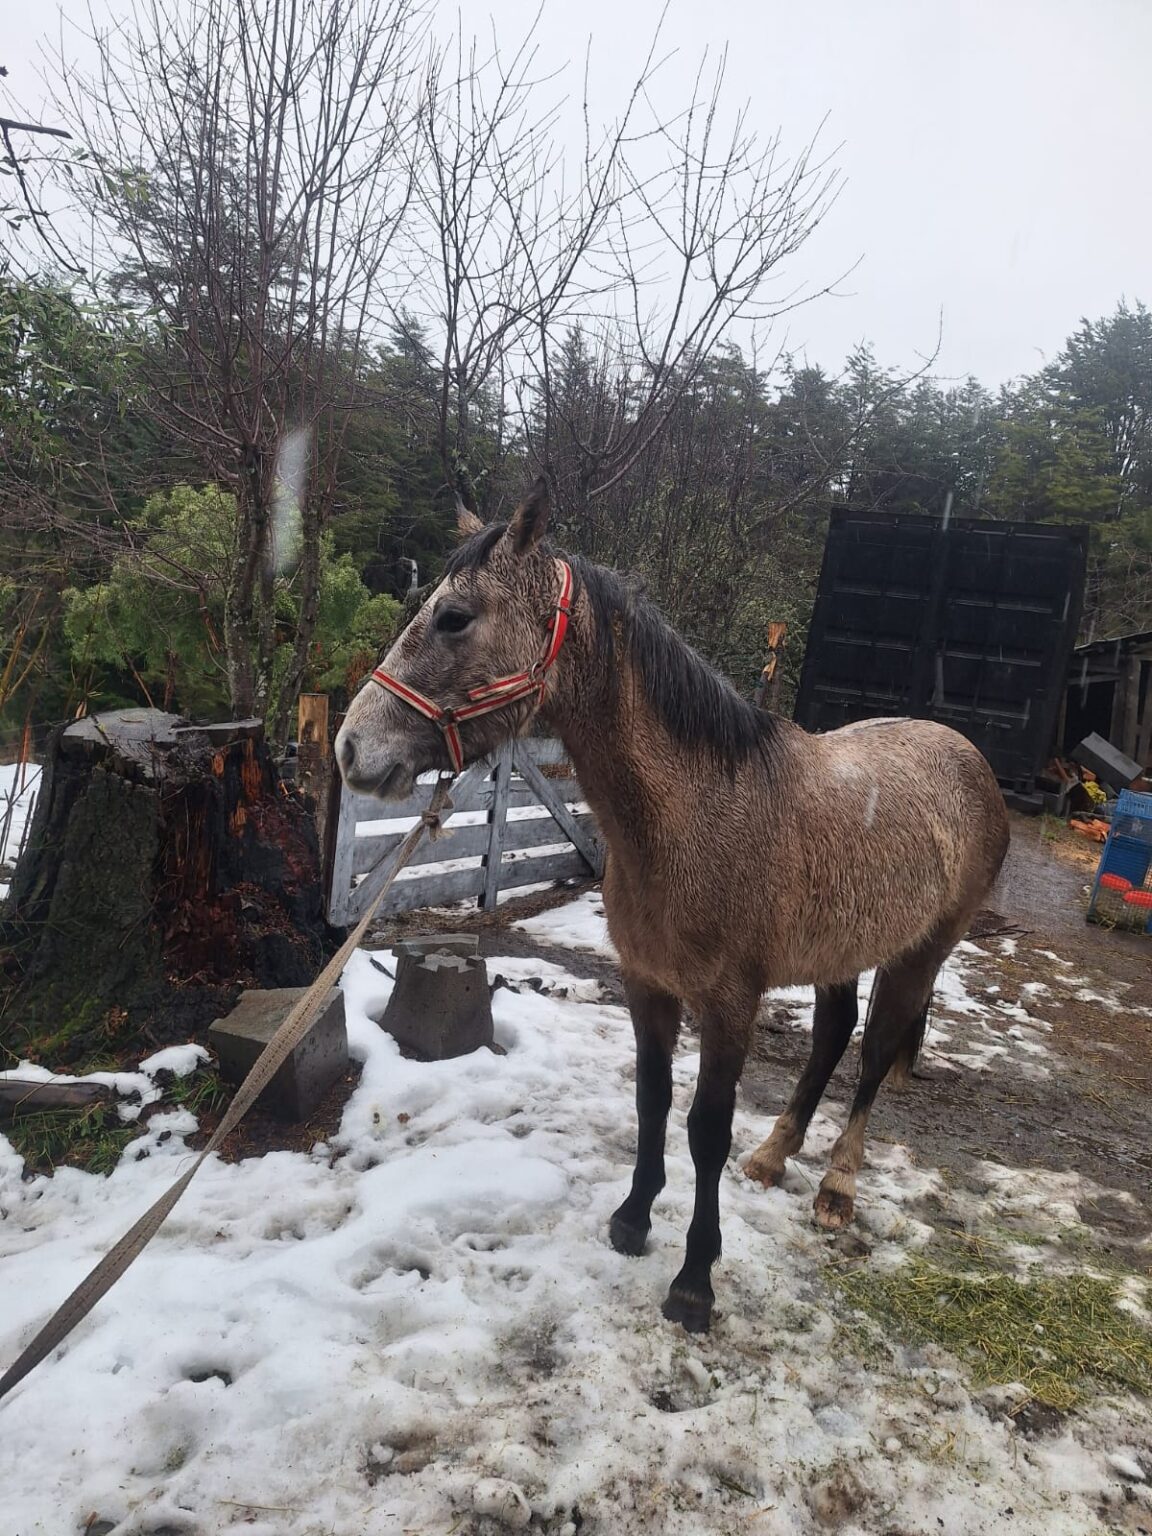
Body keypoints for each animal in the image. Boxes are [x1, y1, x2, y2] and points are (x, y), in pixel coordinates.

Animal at [336, 480, 1010, 1333]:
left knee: (875, 1054)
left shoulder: (728, 1003)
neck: (695, 811)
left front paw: (695, 1280)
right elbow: (652, 1100)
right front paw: (632, 1219)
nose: (352, 749)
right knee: (831, 1036)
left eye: (455, 617)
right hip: (840, 950)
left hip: (918, 956)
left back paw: (837, 1187)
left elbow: (705, 1129)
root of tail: (969, 760)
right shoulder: (646, 983)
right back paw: (777, 1154)